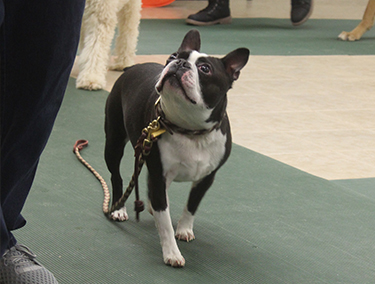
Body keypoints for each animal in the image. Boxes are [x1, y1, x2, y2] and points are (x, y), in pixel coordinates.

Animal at [104, 30, 250, 268]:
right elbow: (164, 222)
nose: (179, 63)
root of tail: (133, 67)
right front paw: (172, 253)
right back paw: (118, 209)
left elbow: (192, 205)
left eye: (205, 69)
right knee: (116, 176)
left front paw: (184, 228)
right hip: (114, 142)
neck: (190, 129)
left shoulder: (207, 177)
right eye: (172, 56)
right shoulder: (159, 174)